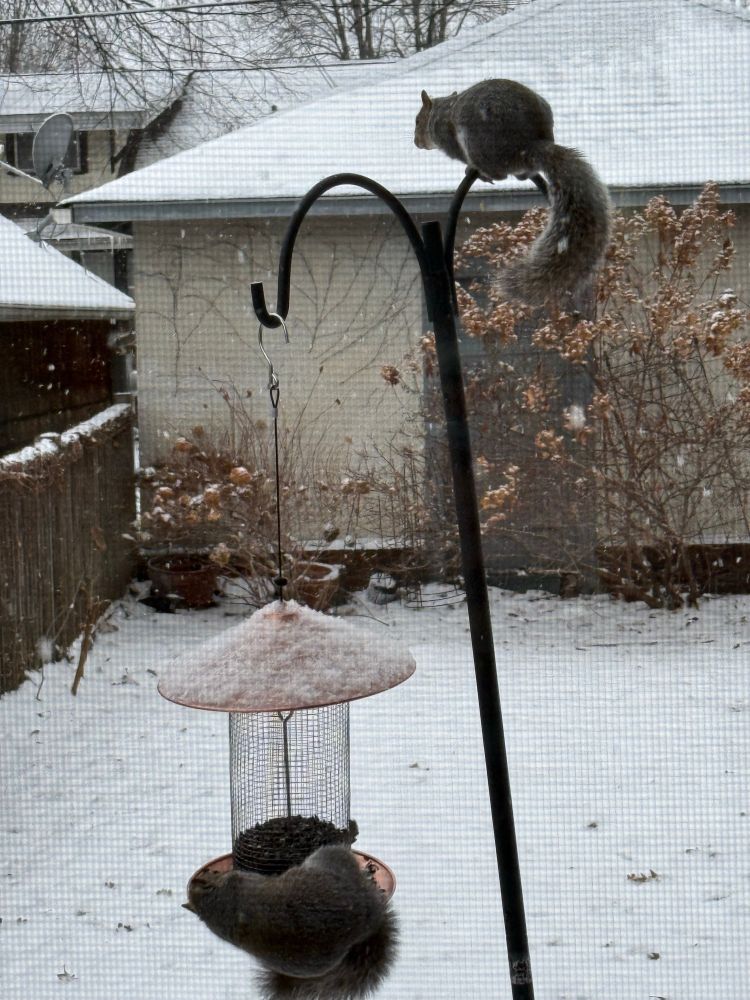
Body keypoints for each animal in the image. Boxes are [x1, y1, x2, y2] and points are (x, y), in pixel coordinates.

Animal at [414, 78, 611, 306]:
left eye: (418, 120)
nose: (416, 142)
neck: (443, 109)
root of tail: (529, 145)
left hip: (477, 143)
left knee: (496, 172)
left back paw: (480, 171)